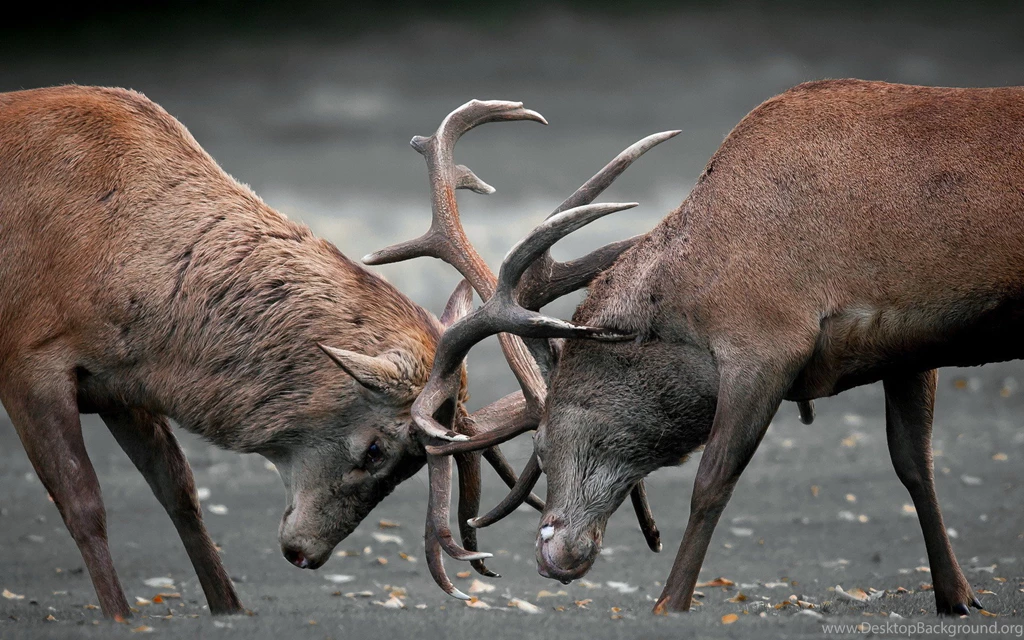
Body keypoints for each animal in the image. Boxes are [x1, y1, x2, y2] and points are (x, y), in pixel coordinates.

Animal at [381, 80, 1024, 618]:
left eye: (540, 442)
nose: (555, 554)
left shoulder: (766, 339)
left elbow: (712, 479)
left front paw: (669, 602)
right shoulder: (910, 345)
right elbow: (915, 464)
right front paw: (957, 596)